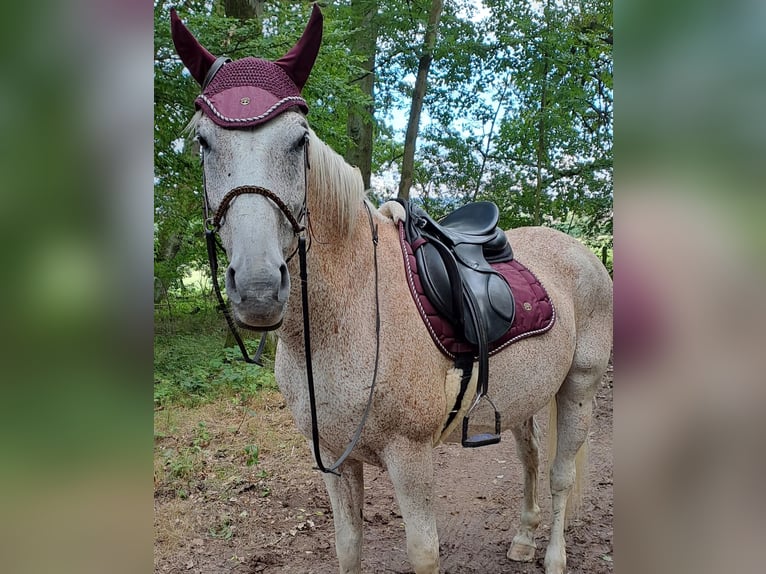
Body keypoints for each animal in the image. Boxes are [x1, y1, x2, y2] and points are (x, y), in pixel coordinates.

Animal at [171, 5, 616, 574]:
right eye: (204, 141)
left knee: (561, 474)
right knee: (530, 457)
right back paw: (521, 538)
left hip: (579, 387)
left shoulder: (411, 457)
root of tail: (580, 250)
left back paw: (554, 555)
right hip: (526, 394)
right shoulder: (334, 461)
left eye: (299, 140)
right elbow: (349, 545)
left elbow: (423, 552)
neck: (351, 310)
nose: (258, 288)